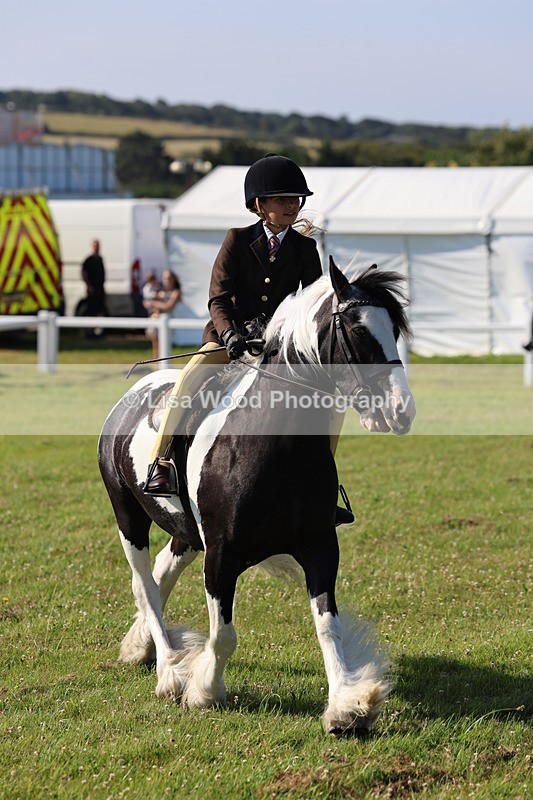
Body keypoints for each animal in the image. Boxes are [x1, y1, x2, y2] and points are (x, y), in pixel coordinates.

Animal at [98, 258, 416, 735]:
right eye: (357, 331)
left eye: (393, 330)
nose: (401, 411)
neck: (276, 445)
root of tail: (132, 396)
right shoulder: (221, 556)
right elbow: (223, 636)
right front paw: (205, 692)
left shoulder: (321, 547)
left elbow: (328, 627)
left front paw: (347, 706)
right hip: (128, 517)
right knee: (145, 584)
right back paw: (170, 670)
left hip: (186, 533)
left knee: (159, 573)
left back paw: (142, 647)